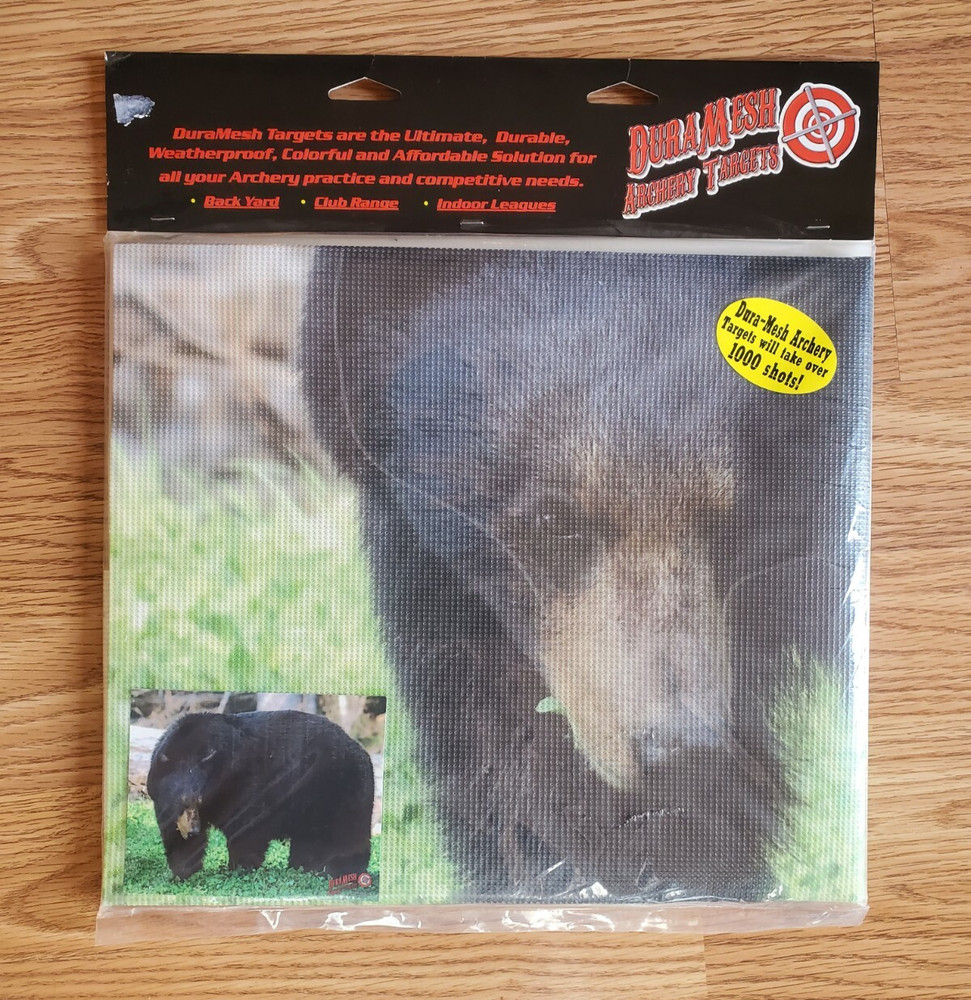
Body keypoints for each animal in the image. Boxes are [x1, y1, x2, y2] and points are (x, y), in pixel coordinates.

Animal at [146, 710, 374, 882]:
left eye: (199, 799)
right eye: (182, 801)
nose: (193, 830)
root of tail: (362, 750)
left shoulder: (247, 785)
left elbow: (247, 830)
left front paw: (239, 868)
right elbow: (175, 836)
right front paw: (183, 871)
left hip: (339, 789)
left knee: (348, 835)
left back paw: (345, 869)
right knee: (308, 841)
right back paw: (303, 867)